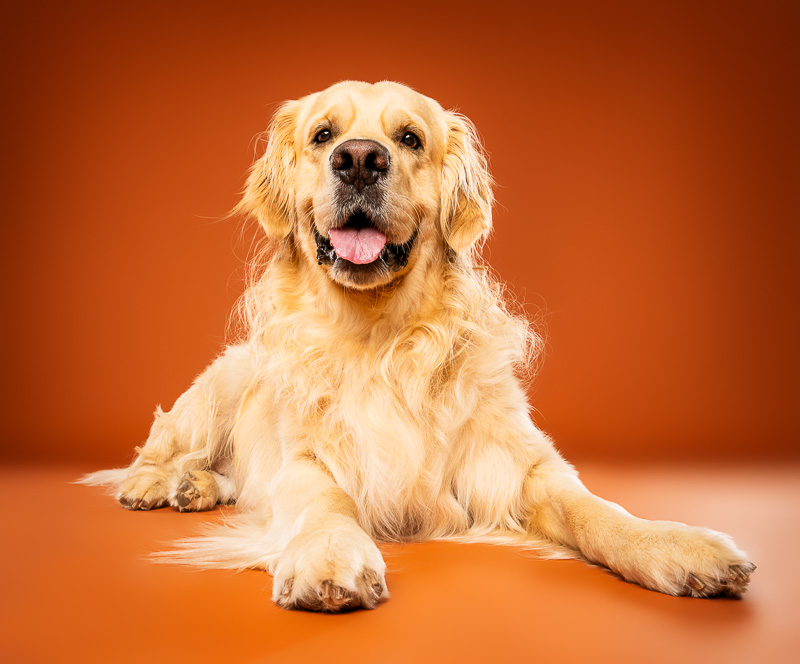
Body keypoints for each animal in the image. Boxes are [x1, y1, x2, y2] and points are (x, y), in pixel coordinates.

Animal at [84, 80, 752, 608]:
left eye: (409, 138)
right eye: (324, 135)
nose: (358, 159)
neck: (380, 339)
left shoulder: (516, 464)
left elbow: (596, 509)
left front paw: (675, 545)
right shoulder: (305, 460)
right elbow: (326, 499)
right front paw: (328, 552)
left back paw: (198, 487)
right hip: (219, 388)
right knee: (163, 447)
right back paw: (158, 483)